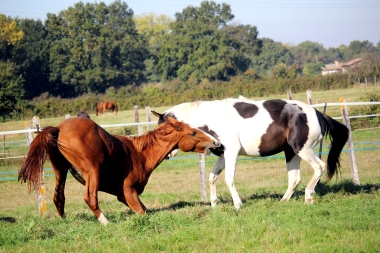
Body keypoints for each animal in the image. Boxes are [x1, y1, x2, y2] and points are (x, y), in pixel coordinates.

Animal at [17, 116, 220, 225]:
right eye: (193, 133)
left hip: (60, 170)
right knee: (90, 198)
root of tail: (58, 128)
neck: (140, 153)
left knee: (58, 198)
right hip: (92, 172)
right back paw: (106, 222)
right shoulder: (128, 192)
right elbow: (142, 212)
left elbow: (145, 210)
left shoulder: (123, 196)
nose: (216, 142)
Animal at [153, 98, 348, 209]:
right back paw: (283, 201)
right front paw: (214, 203)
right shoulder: (223, 154)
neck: (211, 119)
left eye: (165, 131)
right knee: (294, 178)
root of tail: (318, 114)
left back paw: (308, 197)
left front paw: (238, 204)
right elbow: (212, 177)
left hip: (303, 149)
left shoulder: (232, 152)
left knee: (320, 167)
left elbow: (228, 178)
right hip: (291, 152)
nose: (166, 154)